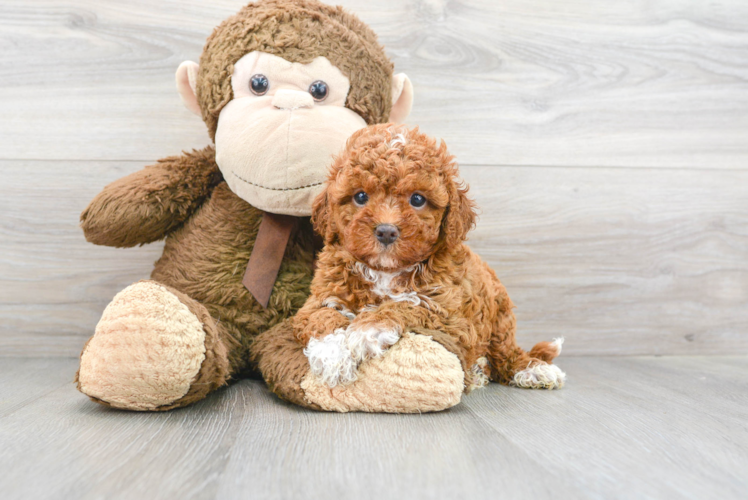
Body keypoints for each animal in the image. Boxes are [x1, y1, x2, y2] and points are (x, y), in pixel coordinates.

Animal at [296, 124, 564, 390]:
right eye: (360, 196)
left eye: (417, 199)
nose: (386, 231)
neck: (385, 272)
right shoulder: (320, 298)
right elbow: (322, 317)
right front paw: (333, 357)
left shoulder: (452, 318)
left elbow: (409, 304)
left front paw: (366, 330)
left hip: (500, 318)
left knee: (506, 353)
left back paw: (533, 369)